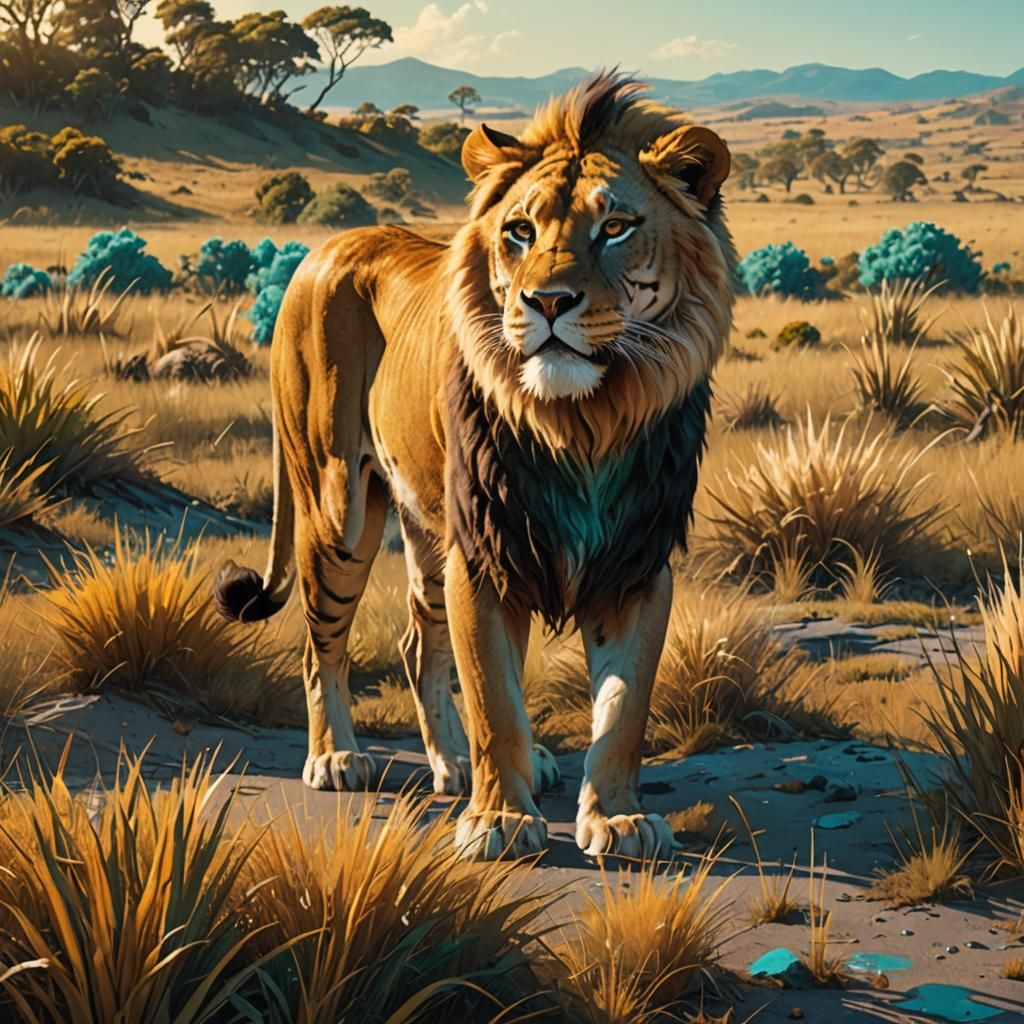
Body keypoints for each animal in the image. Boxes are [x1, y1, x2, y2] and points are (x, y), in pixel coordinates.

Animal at [215, 71, 736, 861]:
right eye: (519, 231)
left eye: (615, 228)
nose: (547, 301)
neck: (584, 422)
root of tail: (319, 250)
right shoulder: (486, 554)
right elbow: (494, 693)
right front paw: (500, 819)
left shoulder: (636, 560)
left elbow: (624, 710)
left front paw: (617, 818)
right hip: (338, 507)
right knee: (318, 643)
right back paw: (337, 757)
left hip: (429, 528)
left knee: (415, 641)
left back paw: (453, 761)